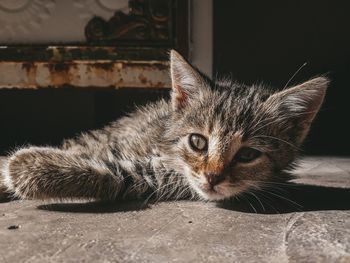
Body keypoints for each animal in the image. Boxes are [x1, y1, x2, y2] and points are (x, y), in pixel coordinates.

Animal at [0, 50, 328, 203]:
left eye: (248, 155)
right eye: (198, 142)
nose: (212, 178)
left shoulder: (144, 176)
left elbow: (108, 174)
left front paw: (21, 167)